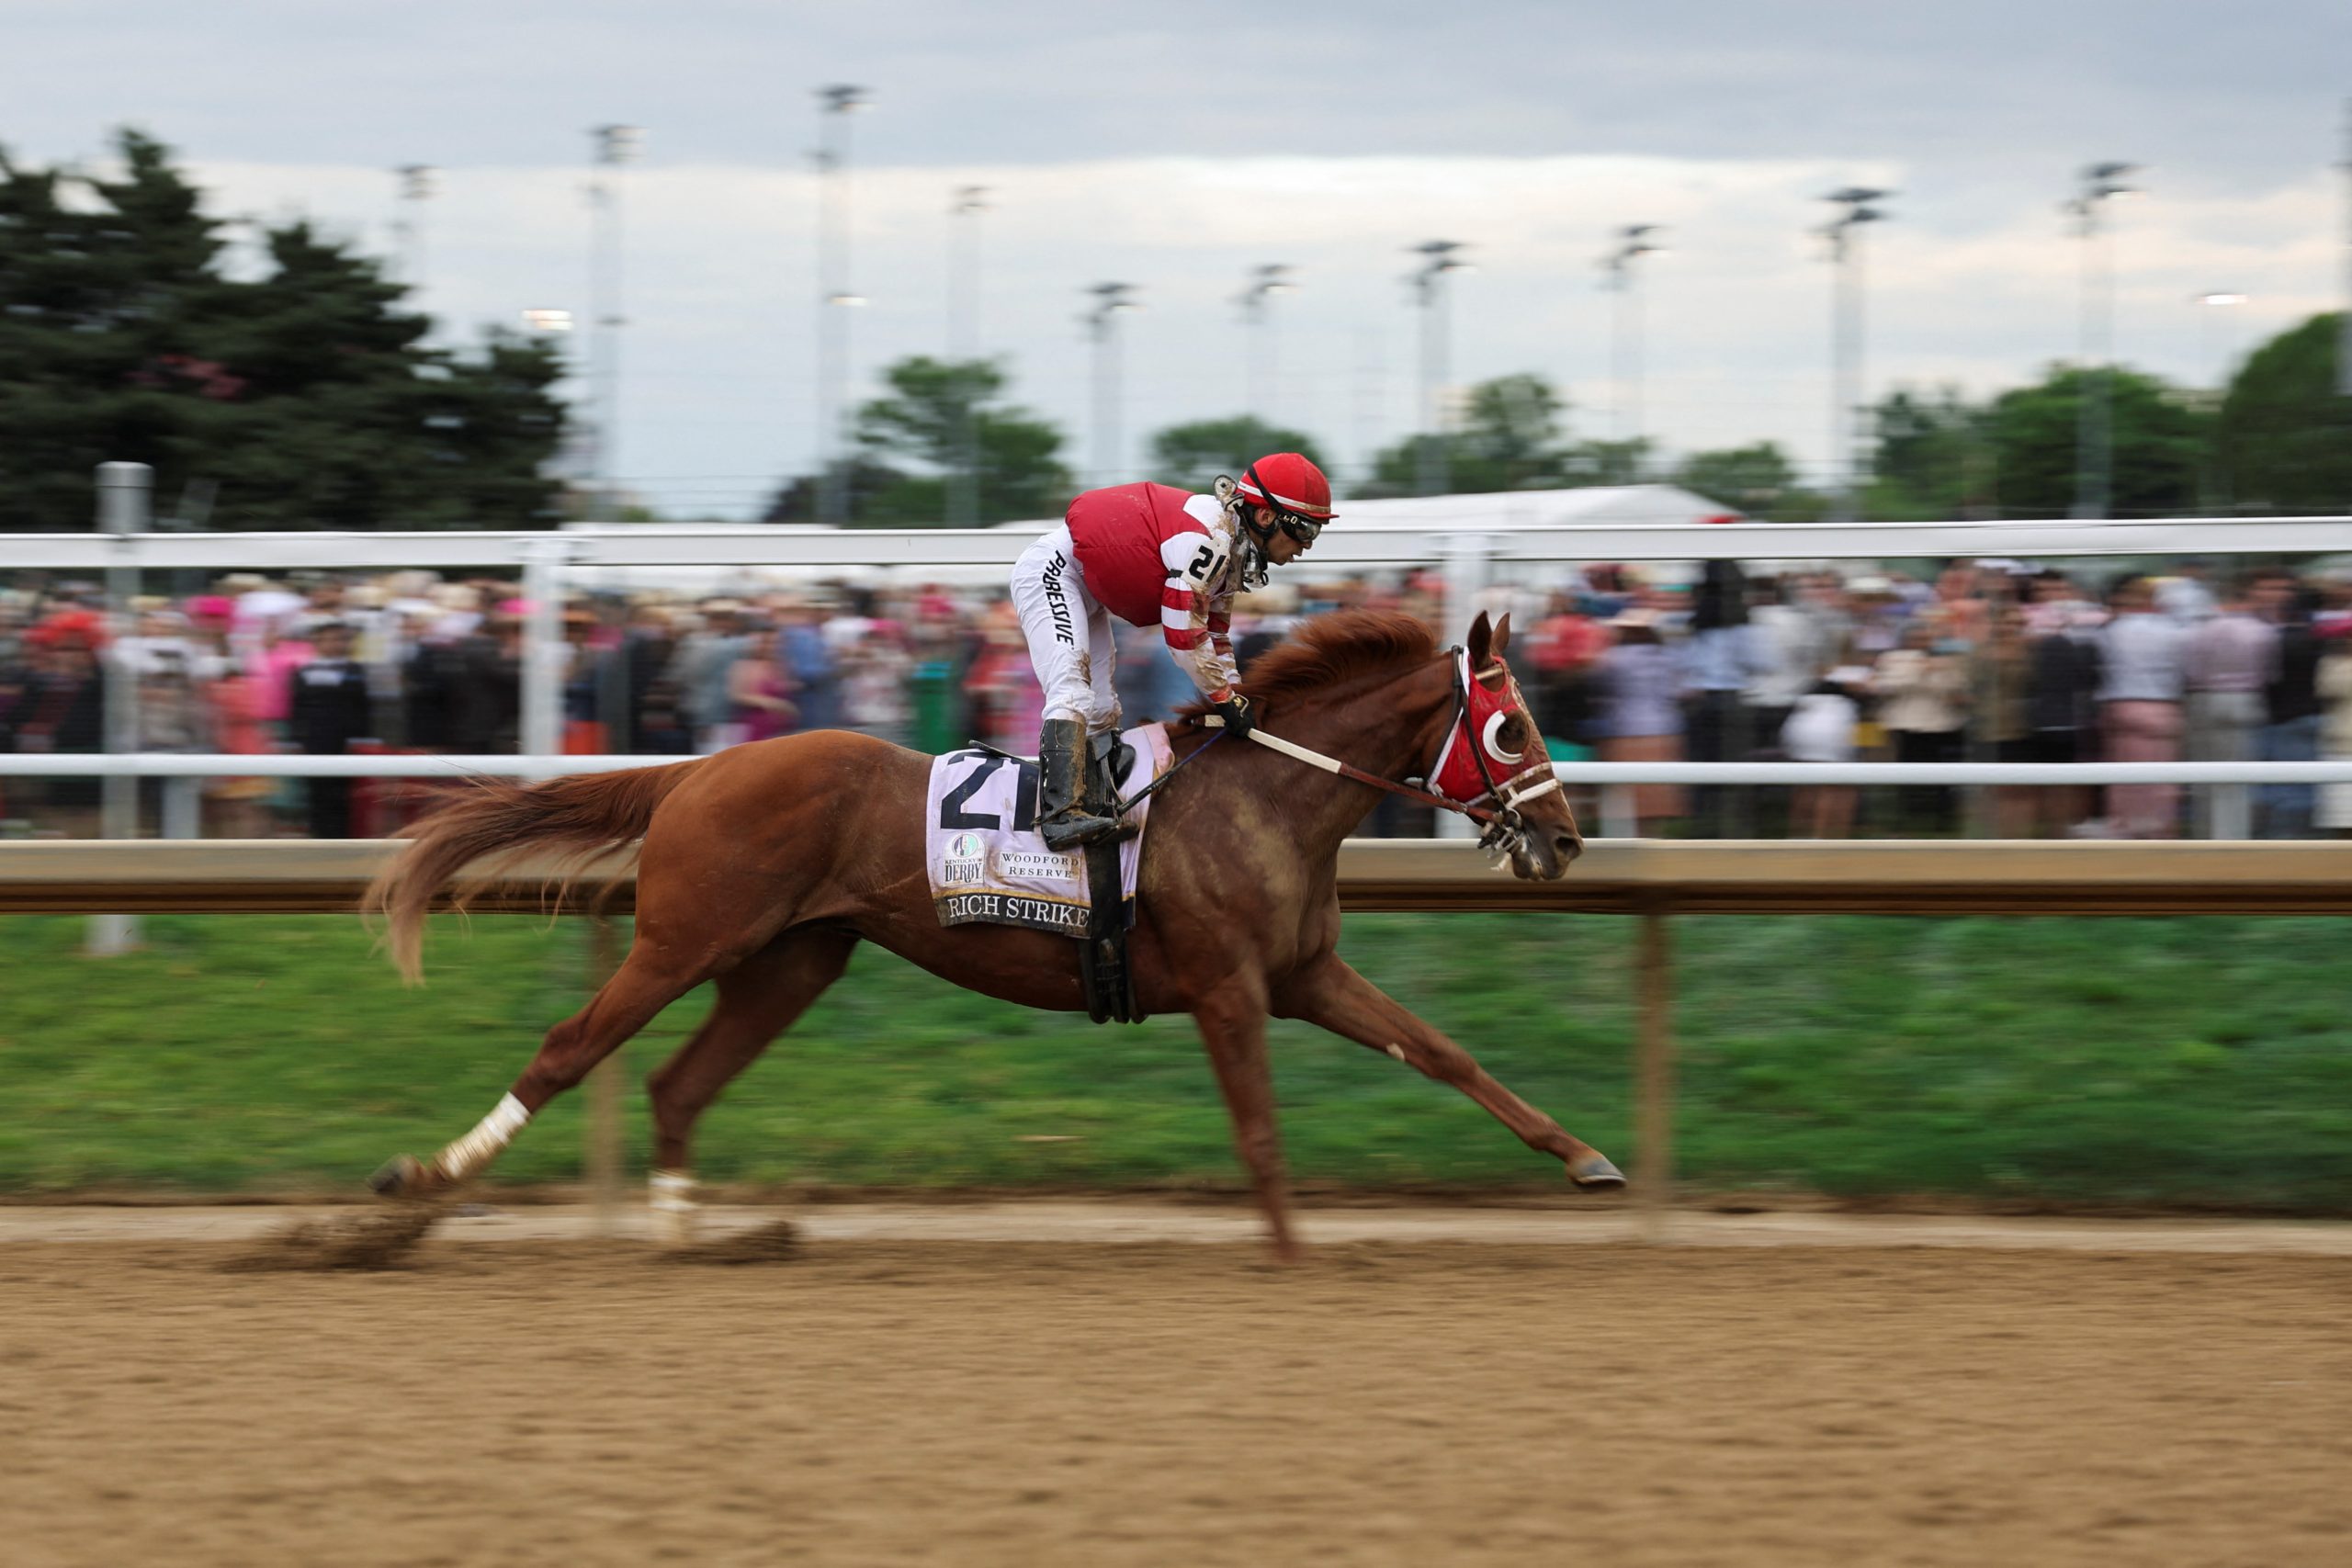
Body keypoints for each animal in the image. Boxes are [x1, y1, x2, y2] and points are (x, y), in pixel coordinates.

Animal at [367, 606, 1627, 1259]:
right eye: (1509, 729)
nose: (1565, 841)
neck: (1266, 796)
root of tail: (700, 768)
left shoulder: (1304, 972)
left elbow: (1446, 1054)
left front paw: (1587, 1159)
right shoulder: (1228, 987)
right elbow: (1261, 1128)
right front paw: (1289, 1252)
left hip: (789, 963)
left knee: (678, 1083)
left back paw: (689, 1233)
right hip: (685, 940)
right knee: (568, 1049)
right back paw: (417, 1184)